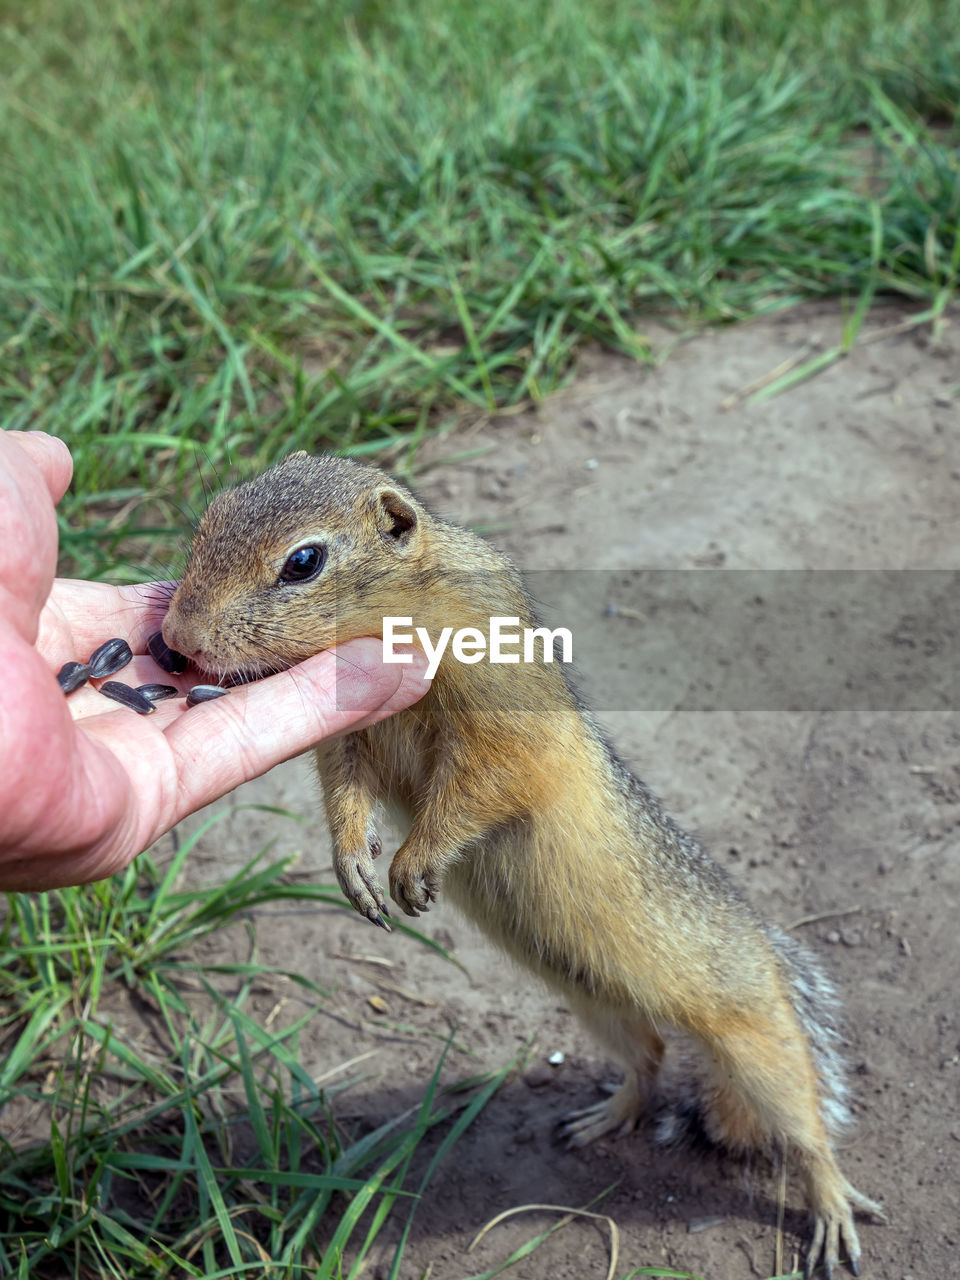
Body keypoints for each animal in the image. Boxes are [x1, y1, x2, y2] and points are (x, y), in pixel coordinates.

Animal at [163, 453, 885, 1280]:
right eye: (212, 514)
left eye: (303, 562)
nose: (174, 640)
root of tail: (765, 949)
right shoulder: (354, 732)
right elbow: (346, 791)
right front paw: (352, 865)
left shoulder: (501, 719)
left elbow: (486, 781)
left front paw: (413, 862)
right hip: (597, 1001)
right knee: (650, 1058)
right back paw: (607, 1115)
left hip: (756, 1041)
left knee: (805, 1128)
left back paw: (832, 1210)